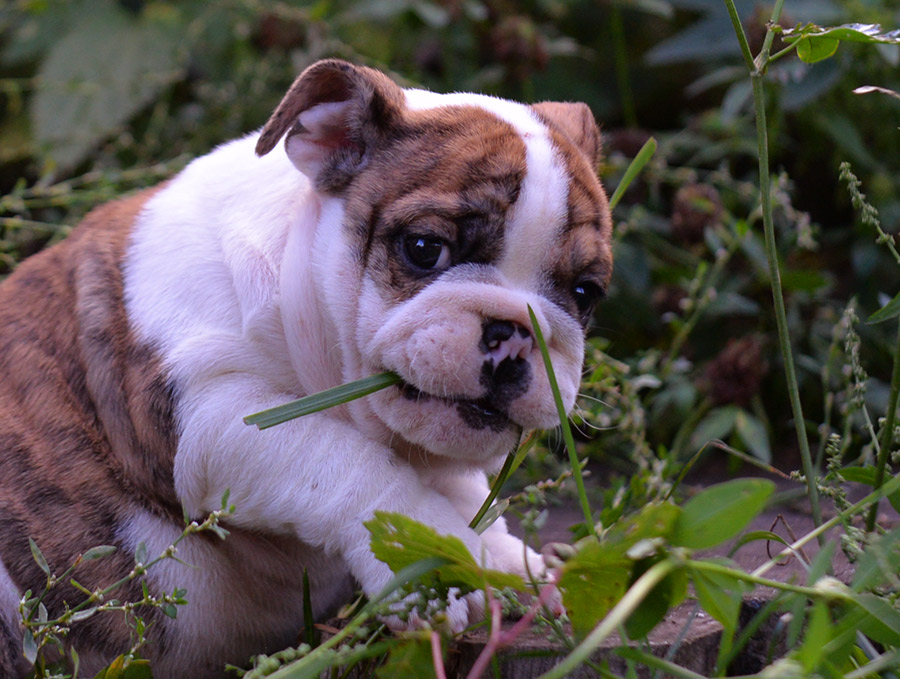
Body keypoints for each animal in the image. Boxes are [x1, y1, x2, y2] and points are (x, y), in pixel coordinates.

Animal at [0, 61, 616, 676]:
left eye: (587, 293)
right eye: (424, 248)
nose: (516, 330)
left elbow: (463, 496)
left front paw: (507, 562)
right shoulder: (222, 419)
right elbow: (352, 464)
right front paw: (430, 556)